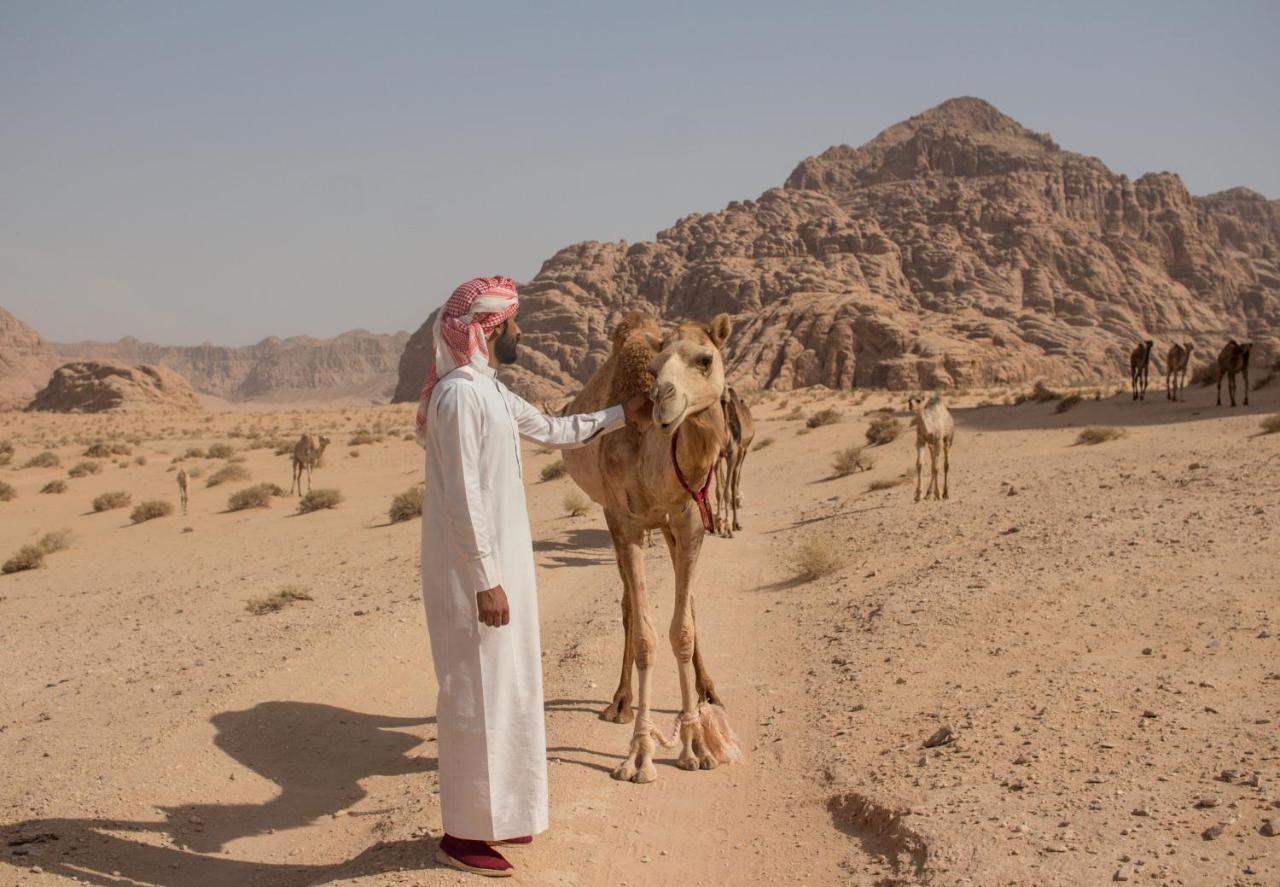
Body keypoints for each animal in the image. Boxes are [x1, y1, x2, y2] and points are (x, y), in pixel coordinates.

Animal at [563, 311, 742, 783]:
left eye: (705, 358)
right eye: (655, 368)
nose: (663, 400)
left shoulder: (688, 518)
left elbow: (683, 628)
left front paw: (696, 743)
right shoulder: (625, 522)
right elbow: (645, 635)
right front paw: (640, 754)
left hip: (665, 528)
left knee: (686, 605)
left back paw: (708, 690)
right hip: (615, 519)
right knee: (628, 605)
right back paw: (620, 702)